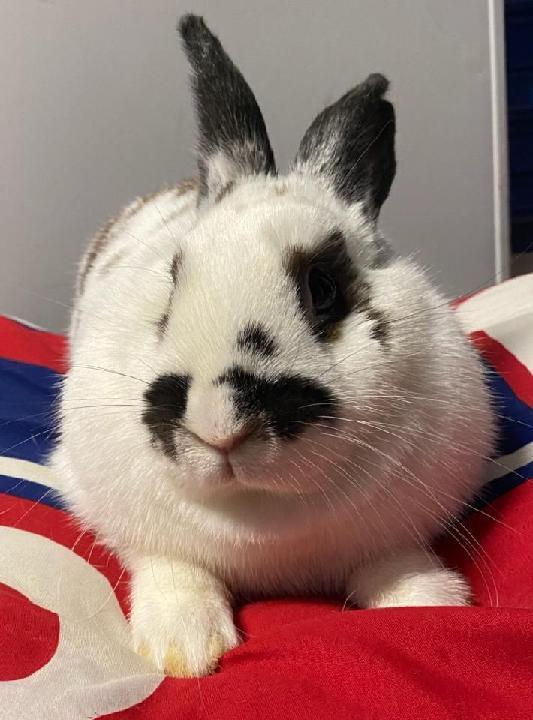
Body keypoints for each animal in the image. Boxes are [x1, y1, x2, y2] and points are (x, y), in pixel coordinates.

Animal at [50, 14, 495, 678]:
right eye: (174, 278)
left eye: (323, 288)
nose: (219, 423)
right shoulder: (129, 520)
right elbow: (173, 568)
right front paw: (187, 651)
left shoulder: (398, 533)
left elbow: (398, 565)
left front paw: (430, 608)